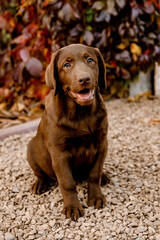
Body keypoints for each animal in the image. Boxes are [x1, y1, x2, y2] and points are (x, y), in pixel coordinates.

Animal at [26, 43, 108, 219]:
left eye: (90, 60)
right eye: (67, 65)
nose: (84, 79)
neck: (81, 113)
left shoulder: (102, 144)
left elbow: (94, 173)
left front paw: (96, 197)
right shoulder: (59, 153)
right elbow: (67, 182)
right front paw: (72, 207)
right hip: (31, 149)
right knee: (40, 173)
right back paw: (39, 184)